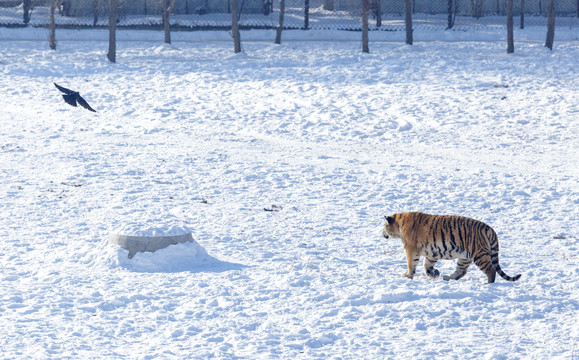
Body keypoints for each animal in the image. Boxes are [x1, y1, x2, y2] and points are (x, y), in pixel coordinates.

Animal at [382, 211, 524, 284]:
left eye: (384, 226)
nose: (382, 234)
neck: (399, 224)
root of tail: (489, 228)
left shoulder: (410, 249)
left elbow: (411, 264)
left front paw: (407, 275)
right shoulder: (431, 253)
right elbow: (426, 265)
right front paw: (434, 273)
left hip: (479, 254)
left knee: (491, 270)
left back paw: (488, 284)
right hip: (465, 257)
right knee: (461, 271)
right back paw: (447, 277)